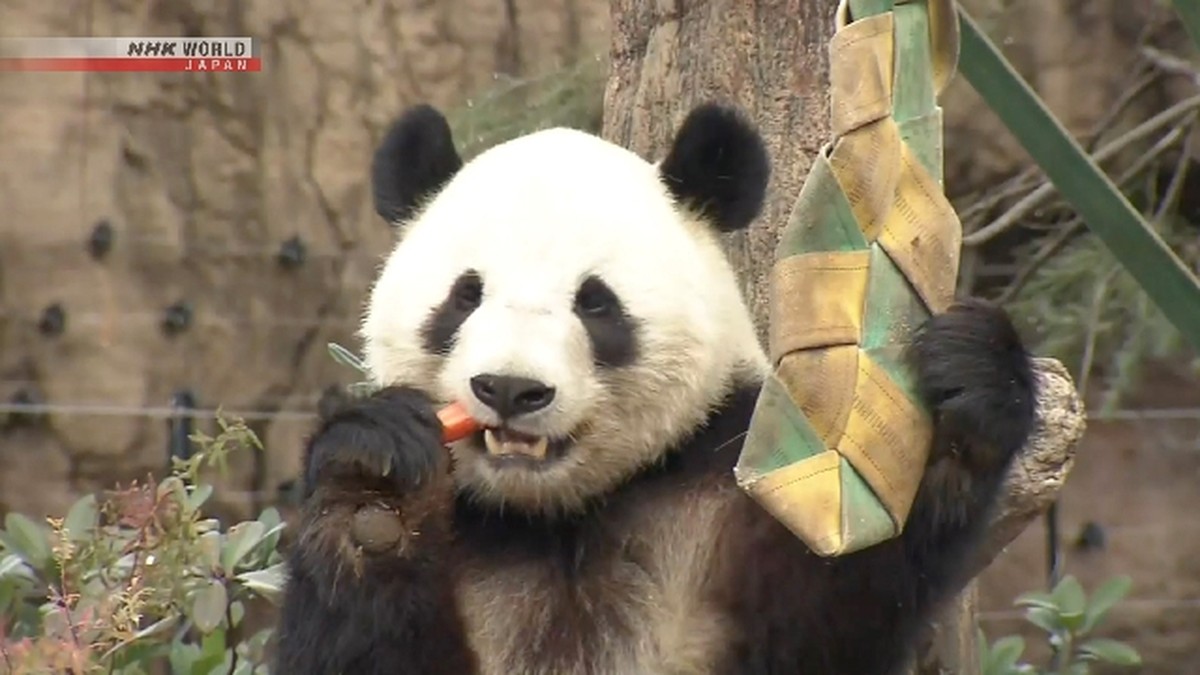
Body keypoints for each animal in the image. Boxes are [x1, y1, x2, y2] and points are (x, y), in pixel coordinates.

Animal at [273, 101, 1037, 675]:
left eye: (595, 303)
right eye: (464, 297)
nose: (511, 388)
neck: (557, 514)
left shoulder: (715, 476)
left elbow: (814, 629)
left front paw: (962, 385)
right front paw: (373, 487)